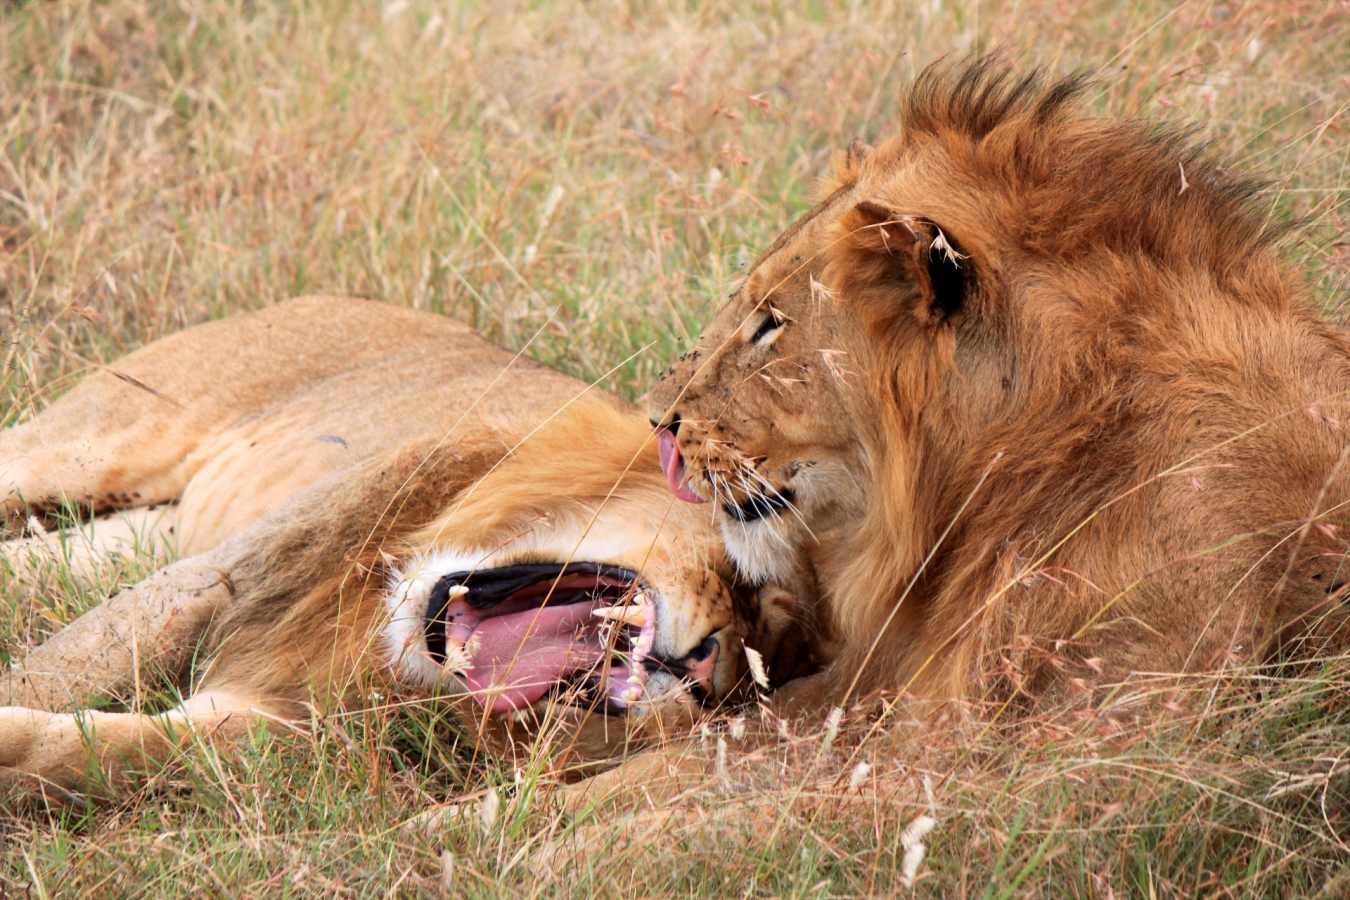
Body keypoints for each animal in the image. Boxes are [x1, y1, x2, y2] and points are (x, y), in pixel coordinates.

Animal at [0, 296, 814, 799]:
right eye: (739, 570)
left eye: (735, 691)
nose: (705, 667)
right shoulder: (215, 578)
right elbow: (56, 675)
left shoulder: (277, 718)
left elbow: (104, 757)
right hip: (90, 442)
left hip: (131, 533)